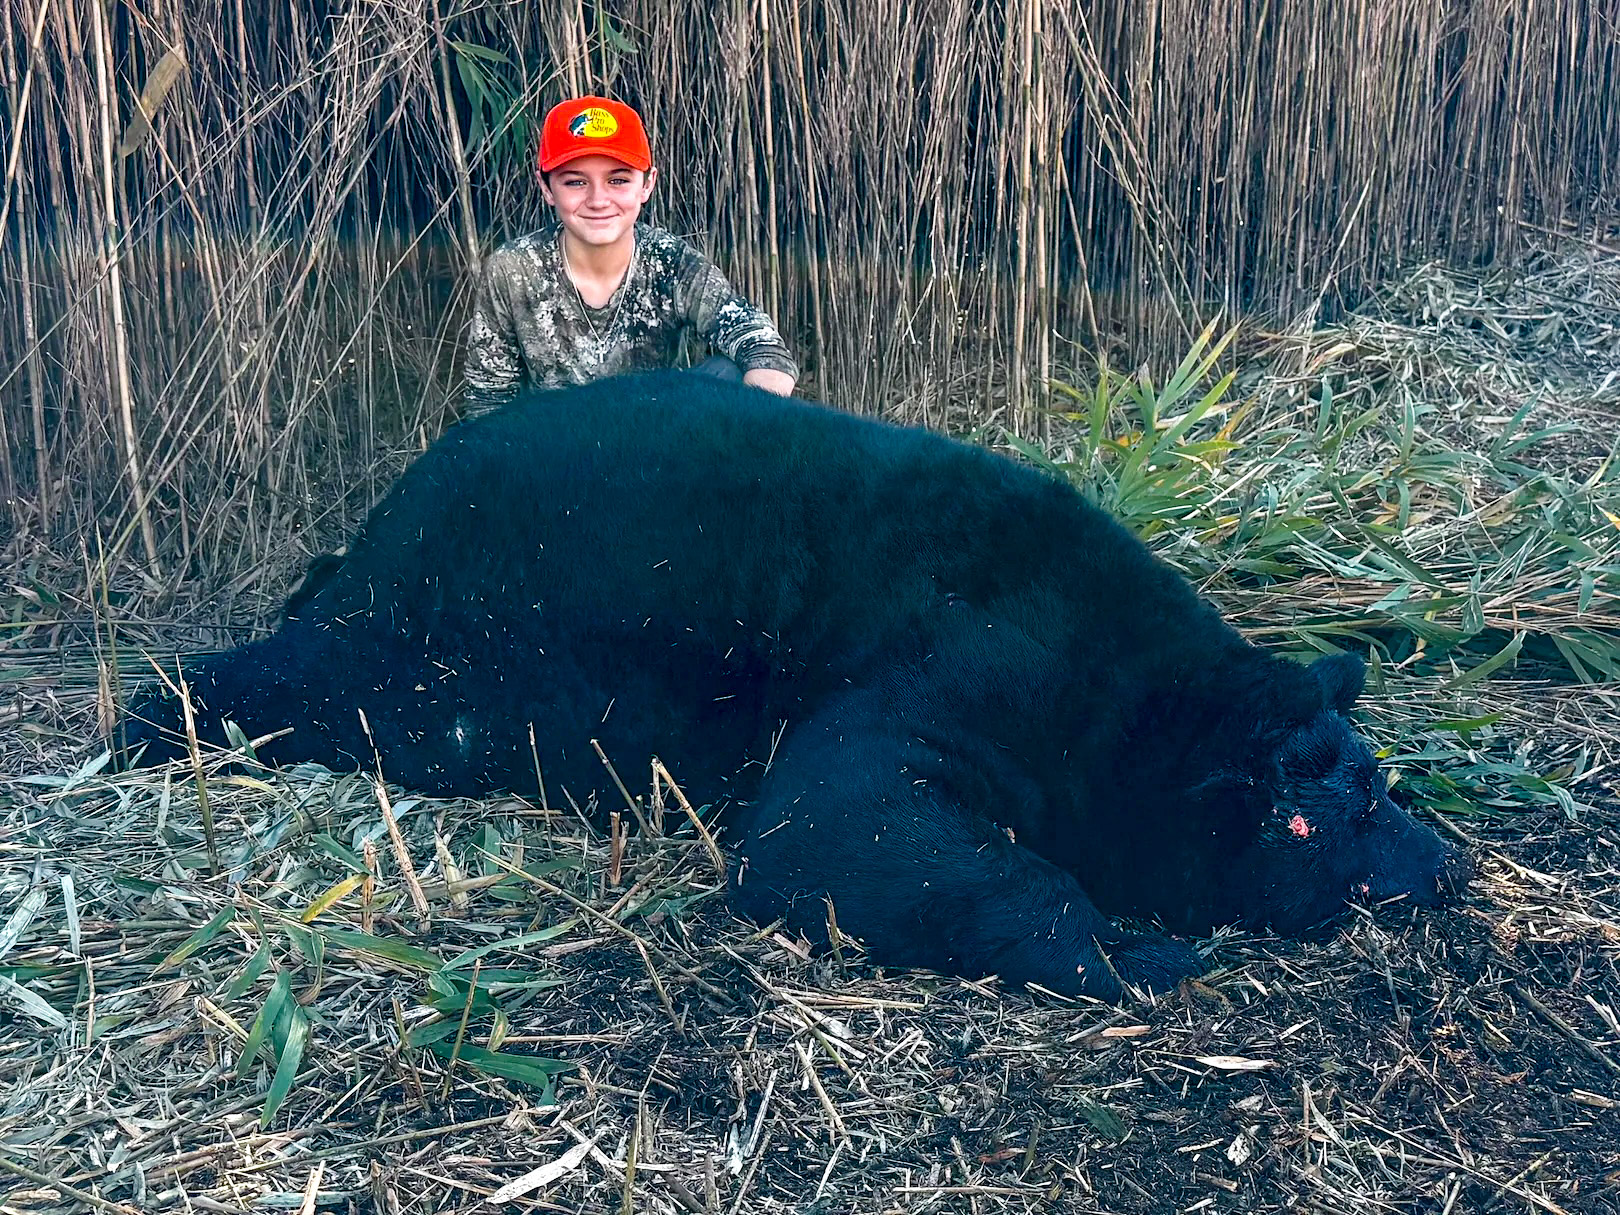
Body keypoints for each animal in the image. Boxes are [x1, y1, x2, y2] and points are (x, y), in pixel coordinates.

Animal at [123, 375, 1470, 1004]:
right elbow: (835, 835)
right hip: (414, 658)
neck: (1125, 708)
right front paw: (1126, 947)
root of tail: (381, 517)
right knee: (270, 679)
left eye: (1388, 788)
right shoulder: (941, 681)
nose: (1453, 868)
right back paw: (158, 723)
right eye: (1340, 810)